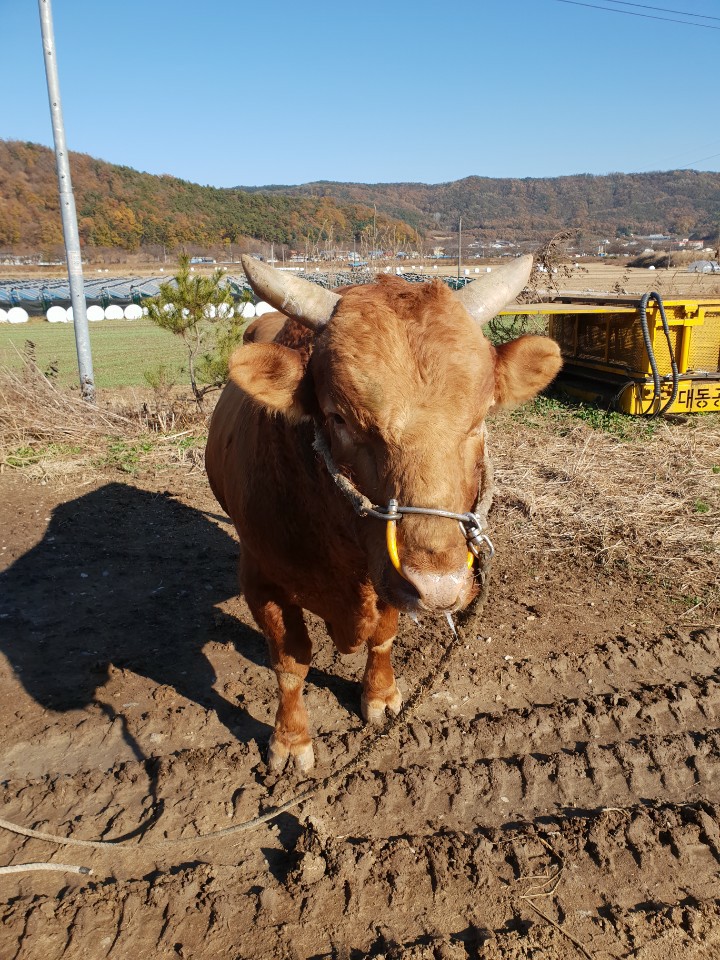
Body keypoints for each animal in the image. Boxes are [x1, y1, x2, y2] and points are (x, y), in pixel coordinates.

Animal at [205, 255, 560, 772]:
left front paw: (380, 695)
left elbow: (383, 635)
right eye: (339, 418)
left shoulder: (390, 581)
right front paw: (290, 739)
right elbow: (290, 663)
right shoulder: (261, 581)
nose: (439, 587)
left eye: (479, 420)